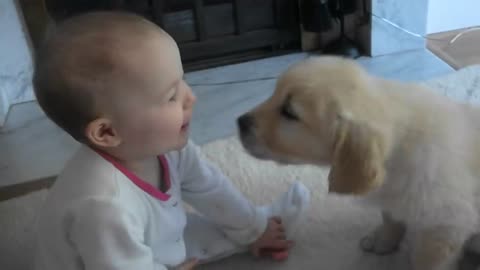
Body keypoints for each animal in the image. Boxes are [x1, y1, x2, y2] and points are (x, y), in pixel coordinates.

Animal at [237, 56, 480, 268]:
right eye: (275, 93)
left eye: (289, 112)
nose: (240, 122)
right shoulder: (390, 195)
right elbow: (391, 218)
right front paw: (383, 241)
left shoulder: (445, 227)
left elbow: (427, 260)